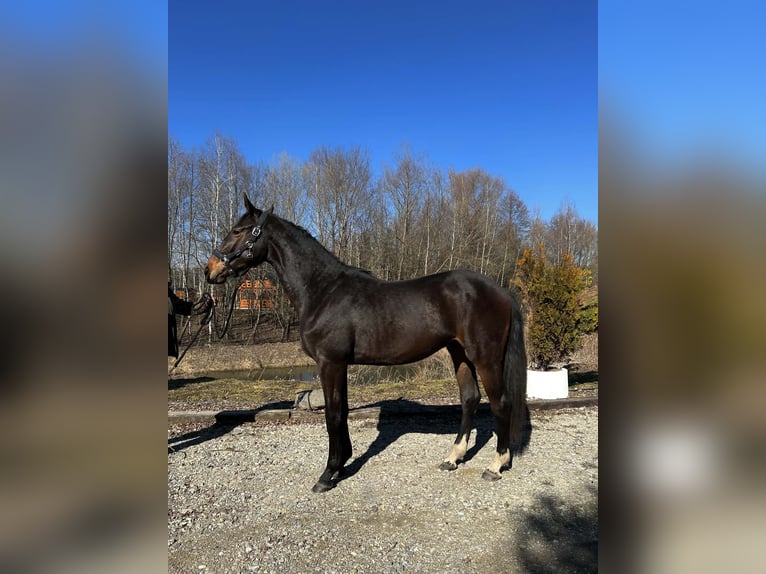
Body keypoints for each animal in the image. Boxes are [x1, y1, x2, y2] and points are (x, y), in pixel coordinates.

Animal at [205, 194, 528, 493]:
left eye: (238, 230)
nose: (210, 270)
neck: (323, 290)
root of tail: (500, 291)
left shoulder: (330, 363)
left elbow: (333, 414)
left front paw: (328, 474)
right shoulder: (341, 365)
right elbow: (343, 410)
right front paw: (342, 463)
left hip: (485, 357)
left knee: (500, 402)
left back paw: (495, 465)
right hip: (459, 352)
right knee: (470, 399)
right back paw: (453, 458)